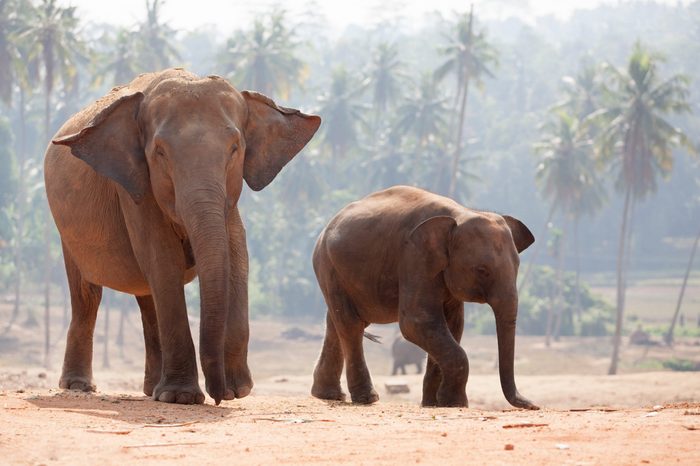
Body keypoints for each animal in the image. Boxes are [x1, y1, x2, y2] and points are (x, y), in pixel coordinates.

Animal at [46, 68, 322, 404]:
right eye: (160, 152)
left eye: (235, 148)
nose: (219, 395)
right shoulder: (136, 189)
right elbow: (162, 259)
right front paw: (181, 397)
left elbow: (236, 254)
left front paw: (237, 390)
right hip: (66, 231)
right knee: (87, 294)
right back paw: (79, 386)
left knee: (146, 297)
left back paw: (152, 389)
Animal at [310, 186, 536, 408]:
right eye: (482, 271)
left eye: (517, 266)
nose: (532, 405)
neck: (460, 213)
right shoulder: (415, 257)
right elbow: (416, 322)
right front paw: (455, 403)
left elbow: (453, 325)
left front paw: (434, 403)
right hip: (328, 265)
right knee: (350, 324)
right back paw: (367, 399)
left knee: (336, 323)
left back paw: (329, 395)